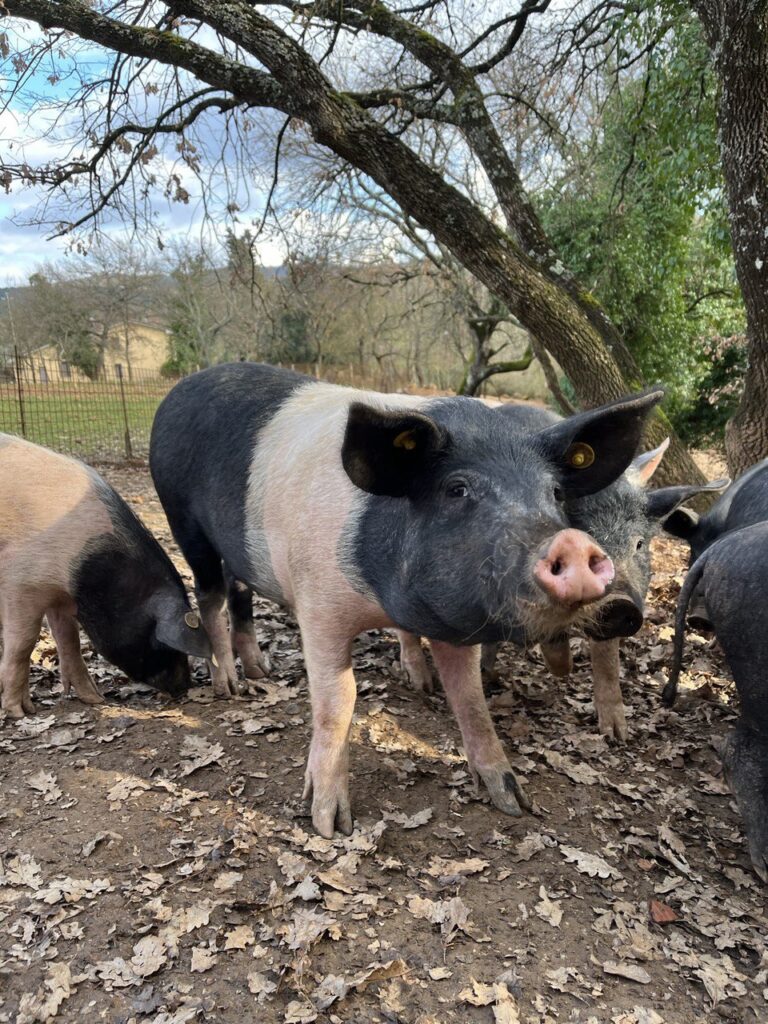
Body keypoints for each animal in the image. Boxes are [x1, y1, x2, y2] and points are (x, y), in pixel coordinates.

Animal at [0, 434, 211, 718]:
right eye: (162, 643)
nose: (184, 687)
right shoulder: (22, 583)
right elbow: (22, 644)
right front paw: (20, 712)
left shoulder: (61, 595)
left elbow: (69, 641)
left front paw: (95, 700)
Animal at [149, 362, 663, 836]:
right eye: (457, 489)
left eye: (555, 492)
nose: (573, 543)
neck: (377, 596)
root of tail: (183, 387)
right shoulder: (318, 606)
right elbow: (338, 699)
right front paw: (330, 825)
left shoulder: (456, 620)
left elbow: (469, 696)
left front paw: (513, 801)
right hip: (182, 520)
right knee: (210, 595)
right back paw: (229, 687)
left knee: (237, 592)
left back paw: (261, 672)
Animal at [399, 404, 726, 740]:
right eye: (577, 530)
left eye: (638, 543)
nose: (620, 604)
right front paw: (558, 661)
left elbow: (606, 657)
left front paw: (616, 734)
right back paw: (425, 683)